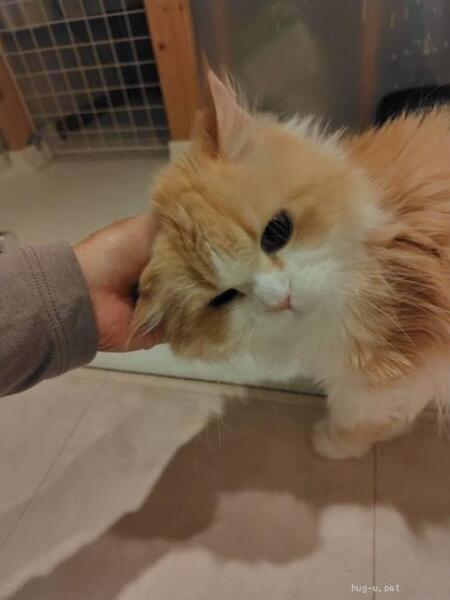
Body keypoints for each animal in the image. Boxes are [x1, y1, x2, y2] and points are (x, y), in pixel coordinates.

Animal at [132, 71, 450, 460]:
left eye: (277, 232)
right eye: (224, 298)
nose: (281, 298)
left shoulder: (383, 376)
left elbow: (357, 418)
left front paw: (331, 445)